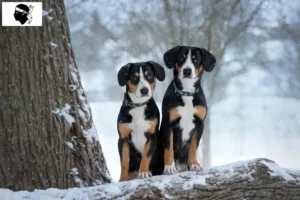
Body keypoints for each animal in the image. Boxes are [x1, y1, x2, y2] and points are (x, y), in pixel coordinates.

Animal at [161, 46, 217, 174]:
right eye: (182, 58)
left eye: (195, 59)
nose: (187, 71)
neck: (187, 92)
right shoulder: (168, 124)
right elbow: (169, 147)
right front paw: (169, 167)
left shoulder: (199, 124)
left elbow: (193, 146)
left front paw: (194, 164)